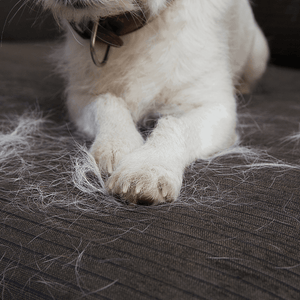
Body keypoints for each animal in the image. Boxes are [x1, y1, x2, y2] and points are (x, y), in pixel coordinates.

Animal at [34, 0, 268, 204]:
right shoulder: (81, 97)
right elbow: (107, 103)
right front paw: (117, 143)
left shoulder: (216, 106)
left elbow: (177, 125)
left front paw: (148, 167)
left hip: (258, 55)